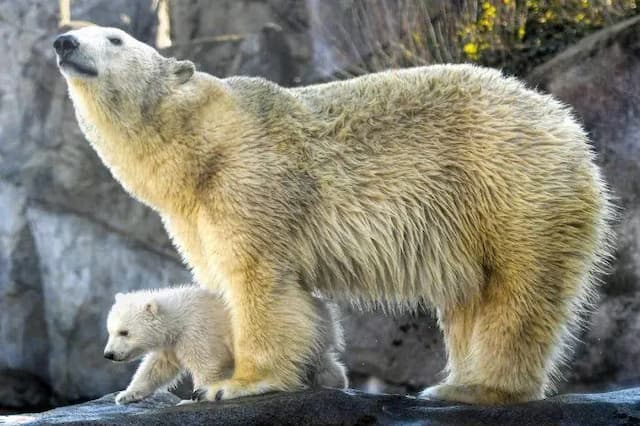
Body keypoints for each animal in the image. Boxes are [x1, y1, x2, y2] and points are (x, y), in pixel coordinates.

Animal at [52, 25, 612, 404]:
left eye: (115, 38)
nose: (63, 42)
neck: (202, 144)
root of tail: (565, 122)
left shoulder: (250, 178)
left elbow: (257, 280)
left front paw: (235, 384)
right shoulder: (193, 211)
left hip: (510, 185)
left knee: (516, 290)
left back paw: (475, 388)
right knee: (470, 298)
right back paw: (458, 380)